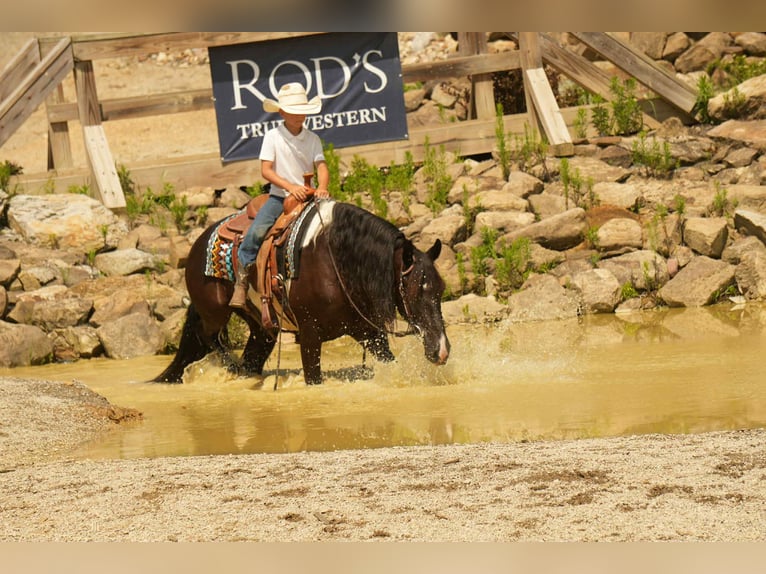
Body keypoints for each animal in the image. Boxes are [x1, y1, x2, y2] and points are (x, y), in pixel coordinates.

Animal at [152, 198, 450, 386]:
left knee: (250, 353)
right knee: (206, 337)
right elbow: (313, 378)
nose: (442, 350)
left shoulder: (367, 332)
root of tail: (198, 243)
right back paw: (229, 365)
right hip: (214, 313)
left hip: (261, 326)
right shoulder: (309, 336)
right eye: (416, 291)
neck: (335, 261)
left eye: (441, 291)